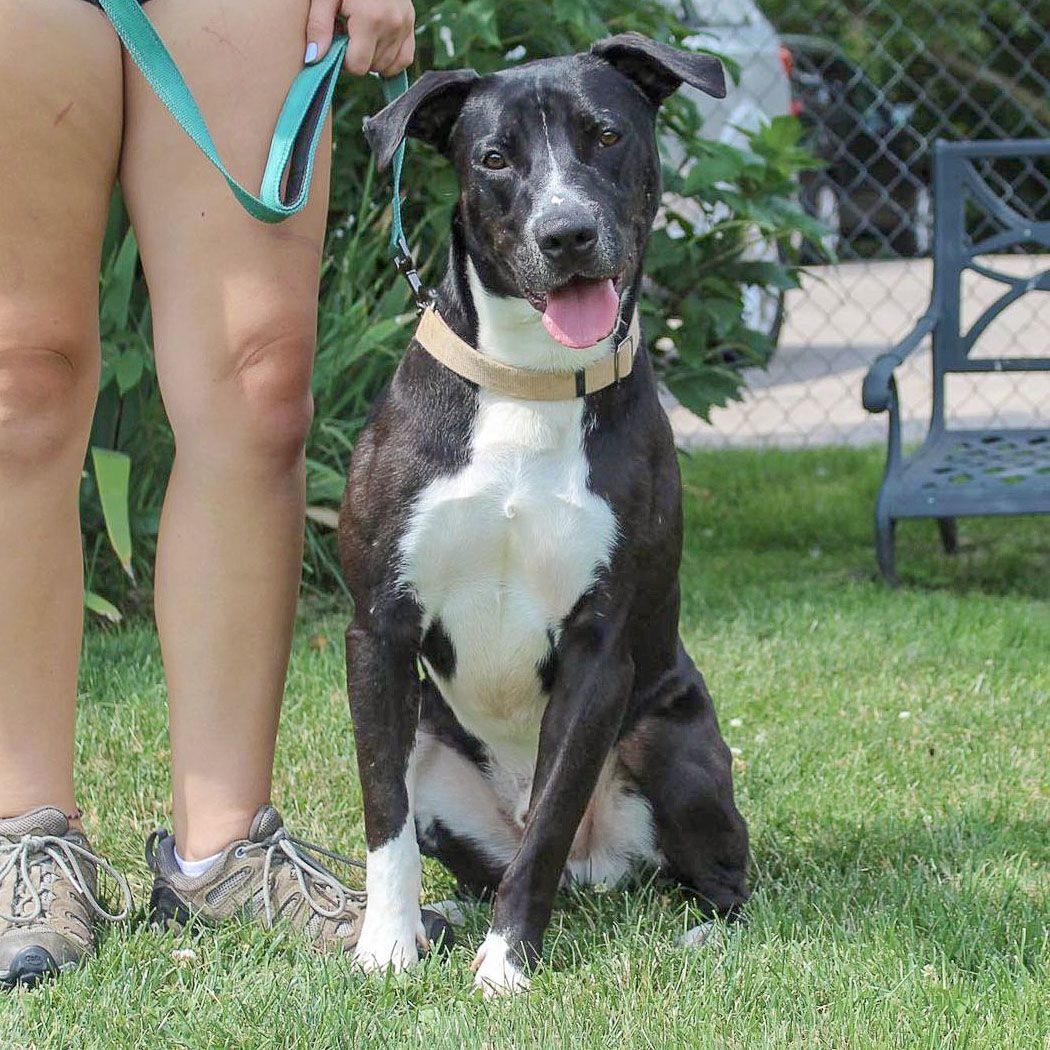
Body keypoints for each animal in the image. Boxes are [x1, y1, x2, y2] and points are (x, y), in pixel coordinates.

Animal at [340, 32, 751, 995]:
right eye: (494, 158)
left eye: (606, 135)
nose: (565, 234)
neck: (530, 380)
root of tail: (602, 874)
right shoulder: (378, 630)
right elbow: (385, 816)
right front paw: (388, 942)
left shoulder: (599, 652)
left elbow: (551, 820)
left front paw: (505, 963)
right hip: (438, 756)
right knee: (468, 846)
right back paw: (443, 915)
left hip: (672, 747)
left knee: (716, 876)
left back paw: (704, 932)